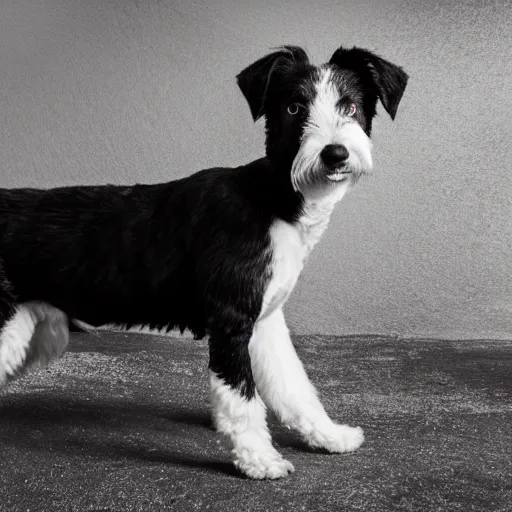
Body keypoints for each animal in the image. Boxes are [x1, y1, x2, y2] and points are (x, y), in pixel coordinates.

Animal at [0, 45, 408, 480]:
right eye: (294, 107)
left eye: (350, 105)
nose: (335, 154)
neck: (271, 200)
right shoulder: (231, 323)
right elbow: (242, 399)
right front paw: (259, 460)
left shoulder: (265, 324)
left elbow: (293, 384)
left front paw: (328, 435)